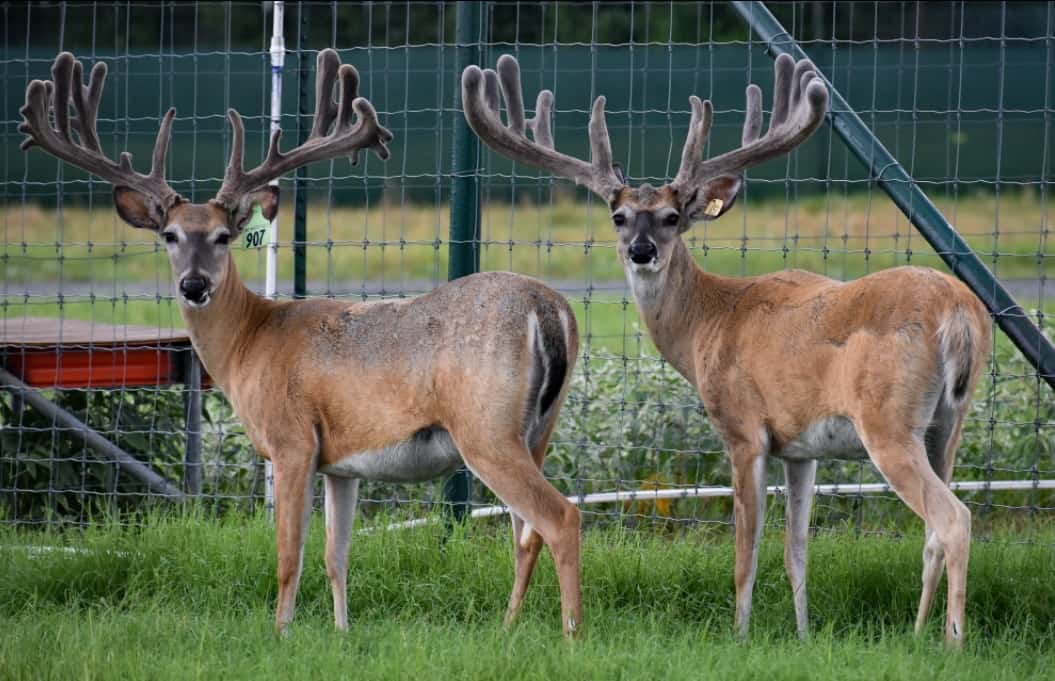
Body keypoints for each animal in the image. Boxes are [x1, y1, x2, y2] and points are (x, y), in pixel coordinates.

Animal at [21, 50, 584, 638]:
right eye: (169, 235)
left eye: (222, 236)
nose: (193, 285)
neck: (249, 343)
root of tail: (550, 310)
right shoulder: (342, 462)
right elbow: (337, 555)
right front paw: (341, 631)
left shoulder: (292, 440)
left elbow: (288, 553)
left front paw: (281, 633)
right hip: (538, 429)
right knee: (526, 533)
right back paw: (510, 626)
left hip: (484, 427)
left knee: (560, 516)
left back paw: (570, 633)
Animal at [462, 53, 990, 648]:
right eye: (619, 217)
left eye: (672, 217)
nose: (641, 250)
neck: (708, 324)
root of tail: (960, 314)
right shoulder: (801, 448)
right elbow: (797, 551)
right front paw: (803, 636)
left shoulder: (743, 429)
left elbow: (746, 552)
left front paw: (740, 634)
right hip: (947, 424)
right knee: (932, 531)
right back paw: (920, 633)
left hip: (888, 422)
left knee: (953, 519)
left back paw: (952, 642)